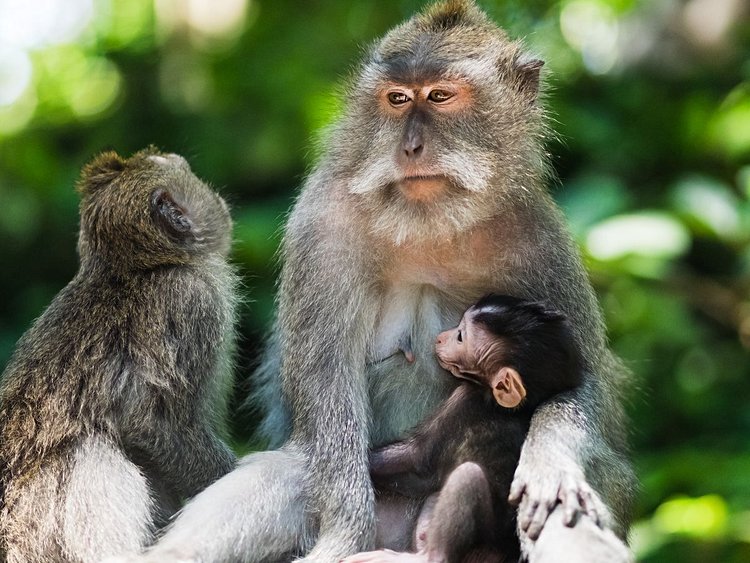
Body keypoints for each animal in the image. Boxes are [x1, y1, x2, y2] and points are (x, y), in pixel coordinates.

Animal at [350, 296, 584, 563]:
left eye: (460, 336)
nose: (441, 338)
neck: (514, 408)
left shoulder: (465, 401)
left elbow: (417, 460)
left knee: (467, 477)